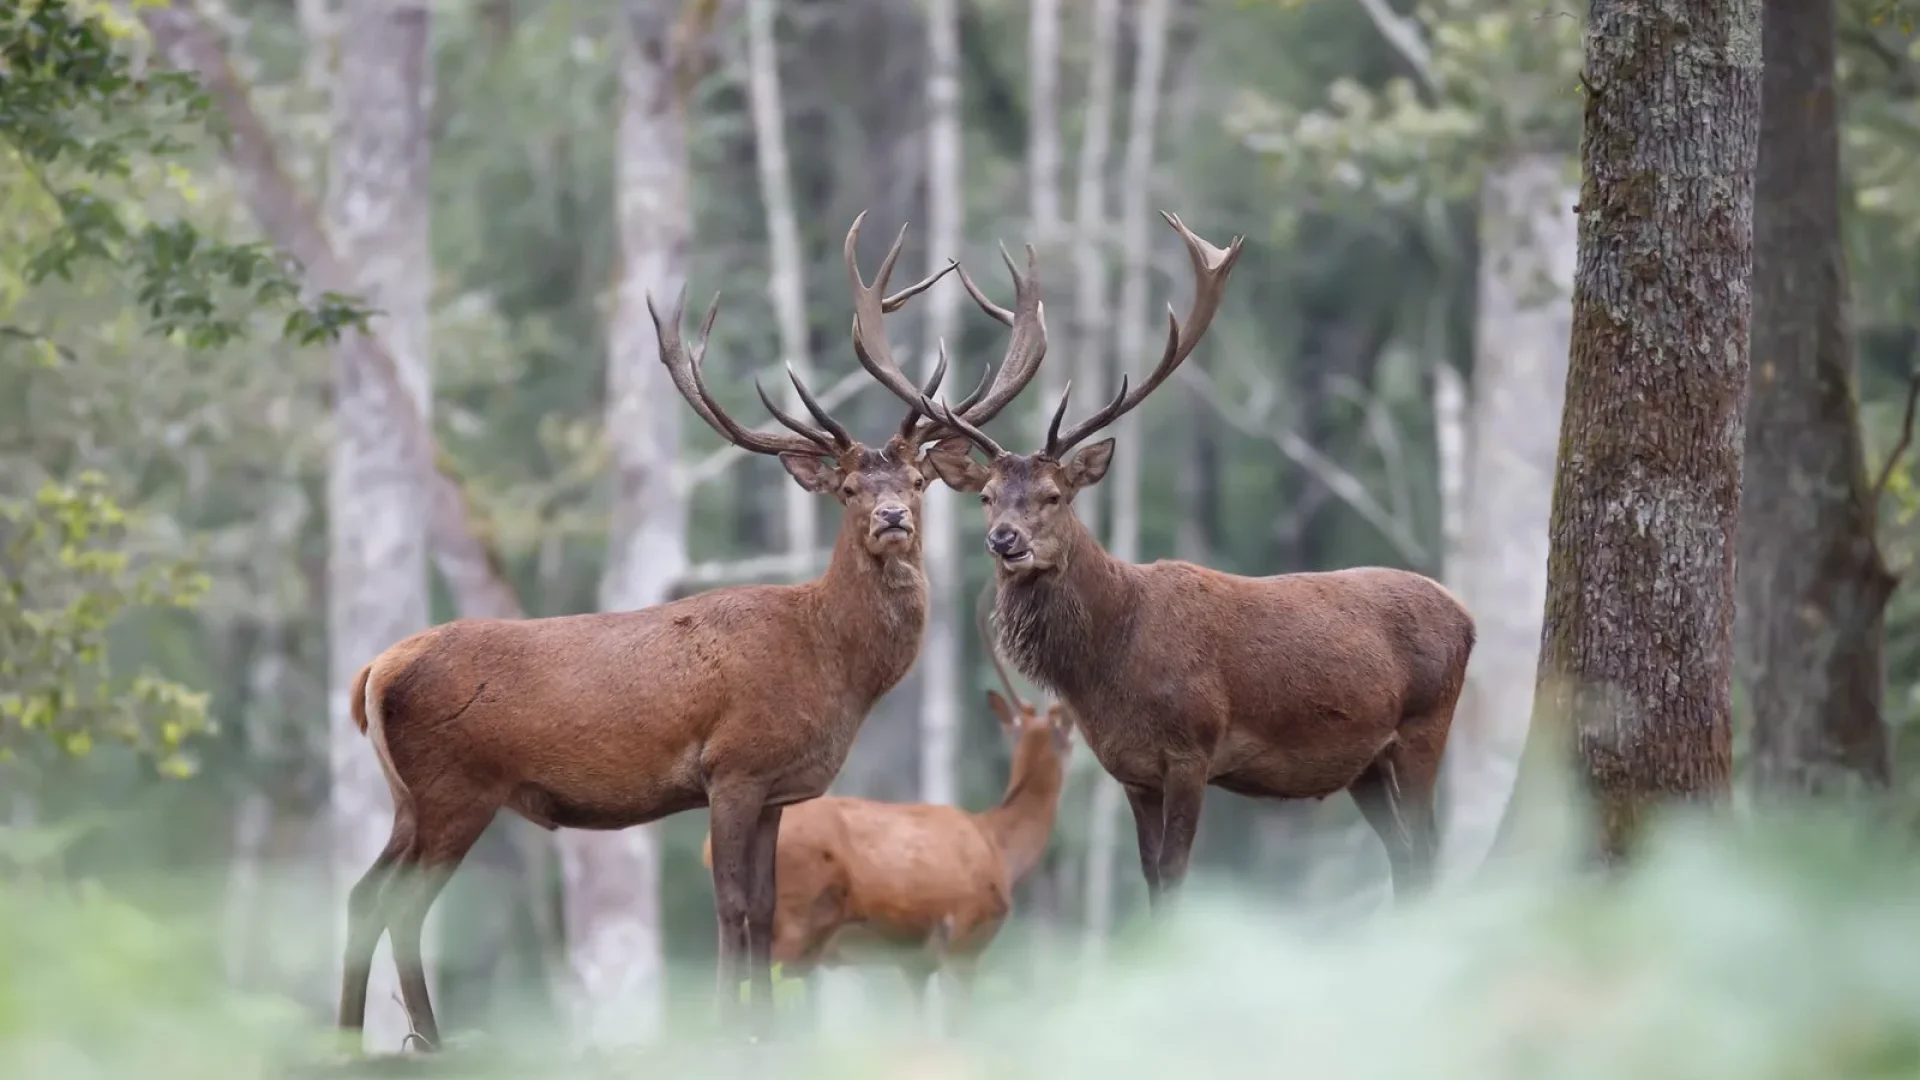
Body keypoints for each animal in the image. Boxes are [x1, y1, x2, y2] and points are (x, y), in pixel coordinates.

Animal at [894, 210, 1466, 899]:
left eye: (1055, 495)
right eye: (986, 496)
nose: (1005, 539)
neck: (1110, 663)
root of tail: (1466, 616)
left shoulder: (1193, 750)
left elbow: (1175, 873)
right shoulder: (1131, 769)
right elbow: (1149, 876)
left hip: (1425, 726)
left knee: (1429, 849)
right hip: (1365, 763)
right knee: (1403, 857)